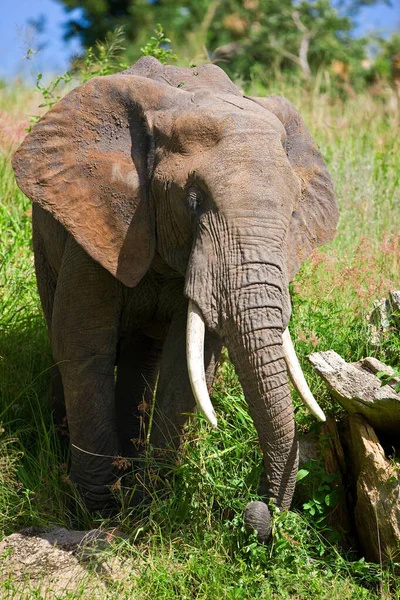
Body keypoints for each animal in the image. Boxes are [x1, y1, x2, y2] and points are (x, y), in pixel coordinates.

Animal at [11, 56, 338, 540]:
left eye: (294, 208)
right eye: (193, 200)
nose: (257, 510)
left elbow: (189, 365)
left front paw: (151, 503)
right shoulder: (100, 218)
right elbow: (83, 343)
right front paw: (98, 514)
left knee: (143, 359)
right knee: (60, 338)